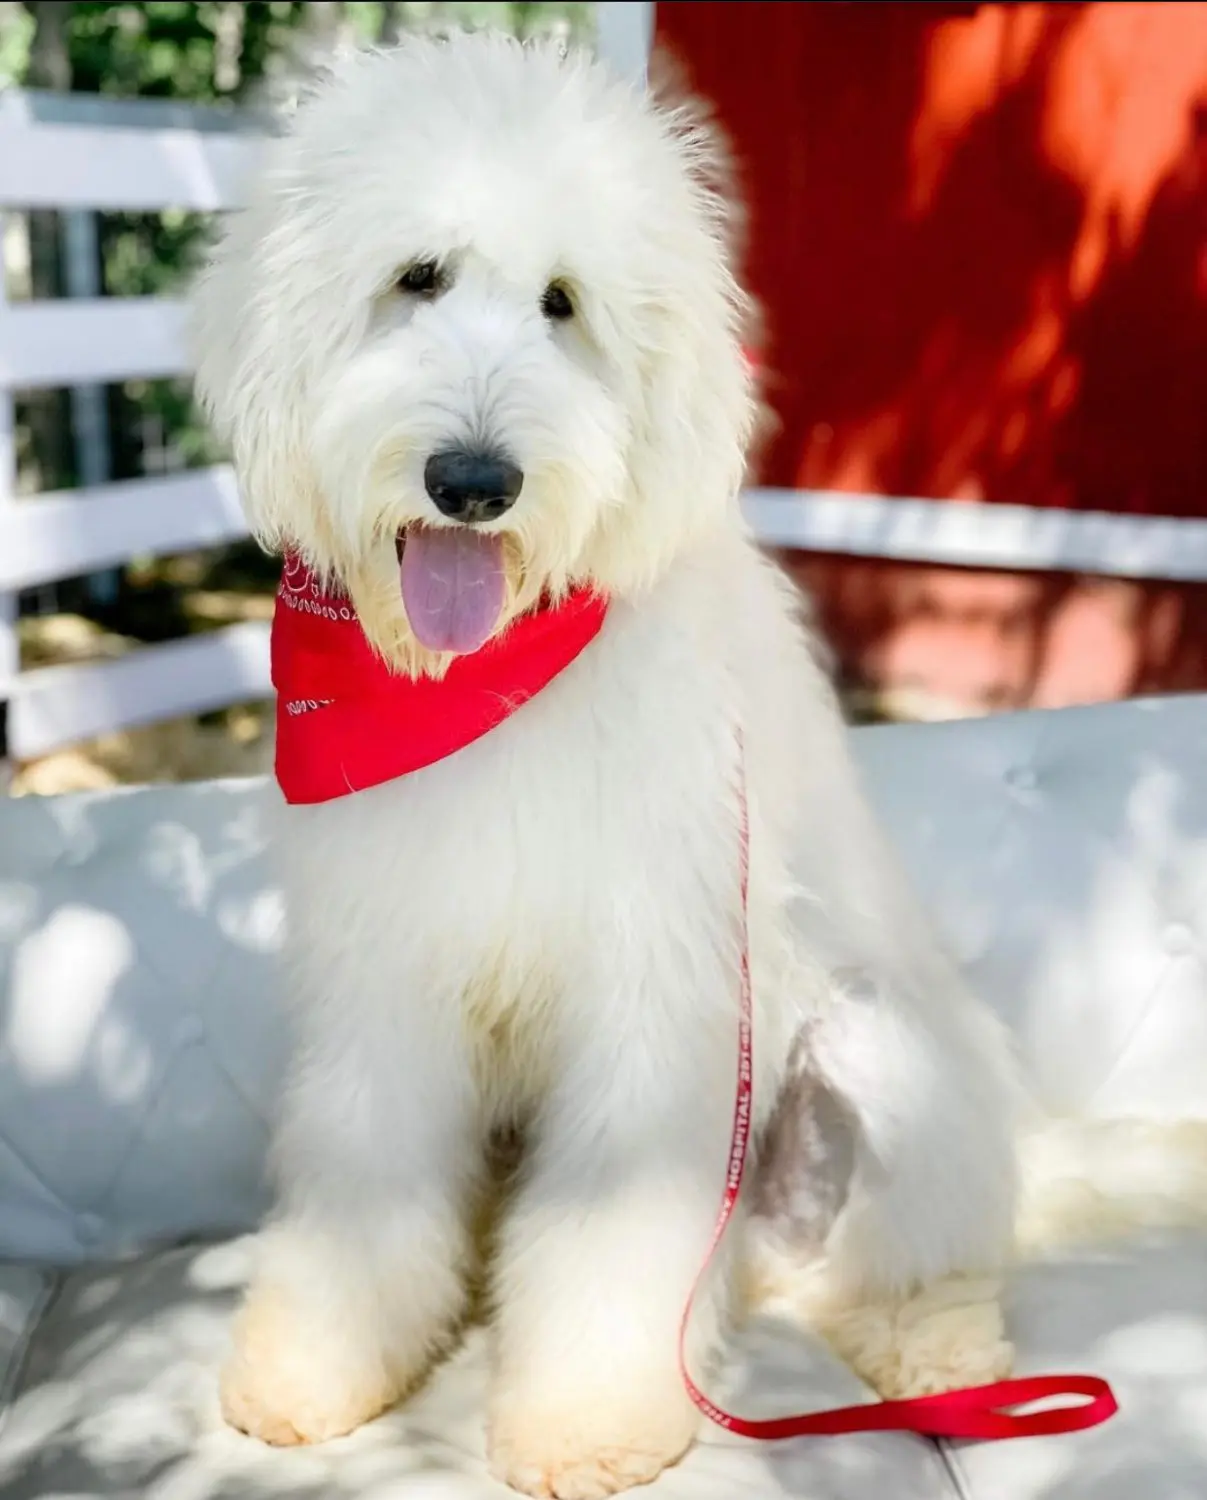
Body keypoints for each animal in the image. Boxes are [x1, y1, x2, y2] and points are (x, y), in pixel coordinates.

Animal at [188, 29, 1193, 1500]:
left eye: (562, 303)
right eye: (417, 276)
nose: (473, 480)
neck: (493, 686)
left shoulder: (657, 990)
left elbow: (612, 1231)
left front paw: (586, 1414)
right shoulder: (388, 981)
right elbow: (366, 1185)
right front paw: (313, 1365)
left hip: (879, 1055)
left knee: (914, 1264)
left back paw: (937, 1353)